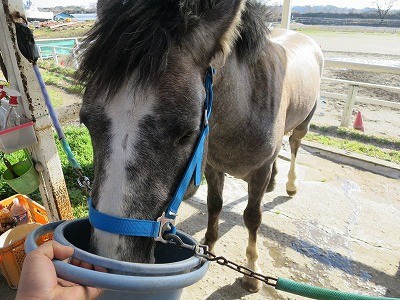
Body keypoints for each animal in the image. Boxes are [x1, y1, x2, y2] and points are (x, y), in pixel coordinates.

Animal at [77, 0, 322, 292]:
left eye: (186, 133)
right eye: (86, 122)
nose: (111, 254)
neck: (244, 109)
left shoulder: (258, 172)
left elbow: (252, 217)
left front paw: (252, 272)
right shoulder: (212, 166)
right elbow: (214, 204)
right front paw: (208, 246)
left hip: (304, 124)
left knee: (294, 145)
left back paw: (290, 184)